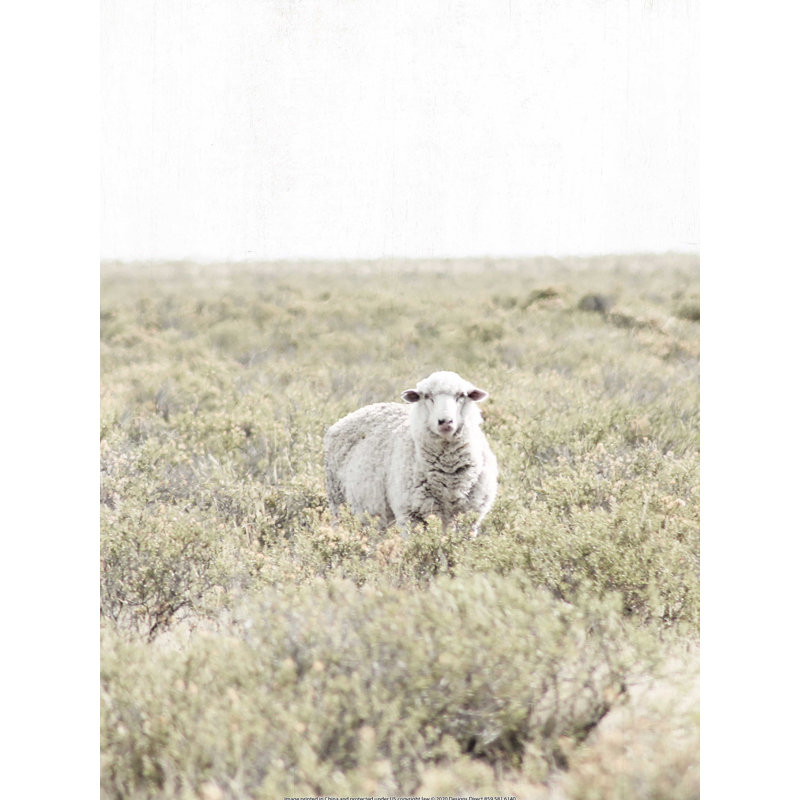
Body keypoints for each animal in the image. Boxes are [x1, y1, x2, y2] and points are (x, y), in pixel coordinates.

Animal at [324, 371, 498, 536]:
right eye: (427, 396)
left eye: (461, 396)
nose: (445, 422)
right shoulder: (410, 513)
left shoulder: (470, 515)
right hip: (337, 499)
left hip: (379, 513)